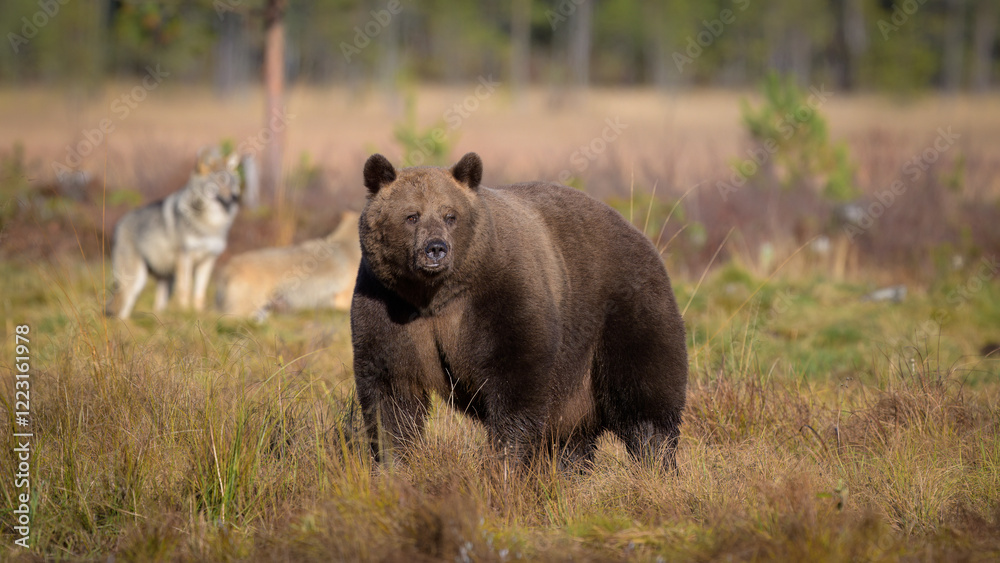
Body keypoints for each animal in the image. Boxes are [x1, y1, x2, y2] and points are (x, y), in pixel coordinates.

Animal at [105, 147, 242, 319]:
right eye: (219, 182)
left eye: (233, 183)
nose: (236, 197)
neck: (211, 224)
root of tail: (119, 223)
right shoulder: (185, 257)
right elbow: (185, 289)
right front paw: (185, 312)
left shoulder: (209, 260)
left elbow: (200, 293)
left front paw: (198, 314)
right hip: (136, 280)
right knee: (122, 309)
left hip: (165, 279)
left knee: (157, 304)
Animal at [350, 152, 688, 470]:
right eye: (411, 215)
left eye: (450, 215)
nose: (436, 249)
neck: (436, 295)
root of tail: (639, 234)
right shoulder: (389, 307)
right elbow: (391, 395)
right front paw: (393, 465)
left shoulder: (500, 295)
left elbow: (516, 379)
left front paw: (507, 461)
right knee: (573, 436)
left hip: (621, 309)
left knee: (645, 397)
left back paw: (657, 462)